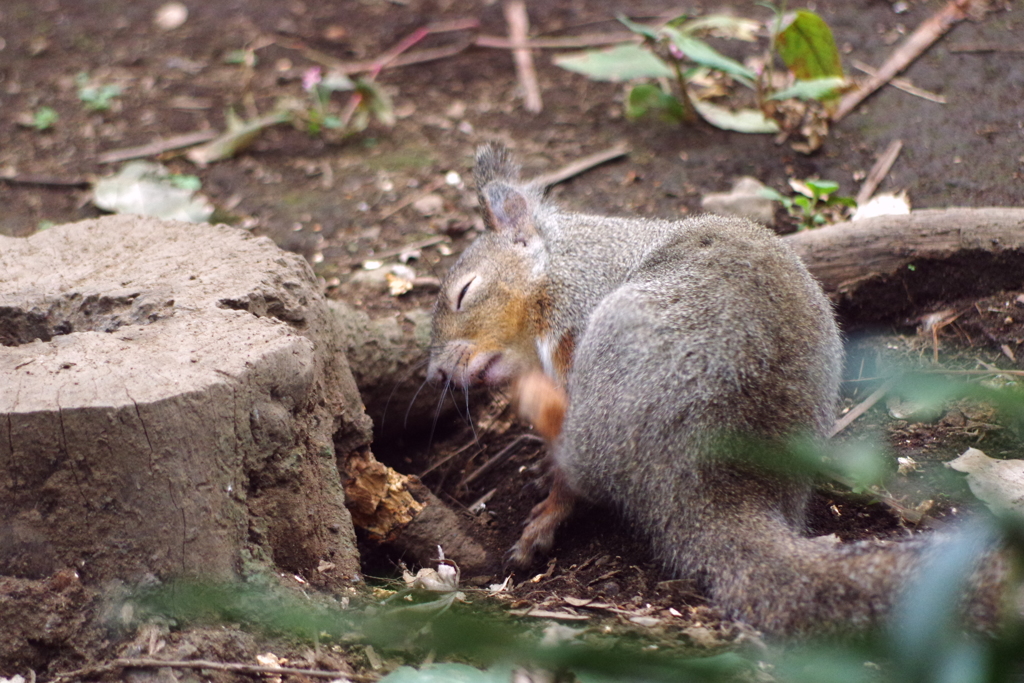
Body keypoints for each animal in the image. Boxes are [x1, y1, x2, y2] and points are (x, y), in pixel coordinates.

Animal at [428, 141, 1003, 638]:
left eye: (464, 293)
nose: (436, 374)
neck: (561, 270)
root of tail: (710, 479)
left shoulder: (574, 320)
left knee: (584, 466)